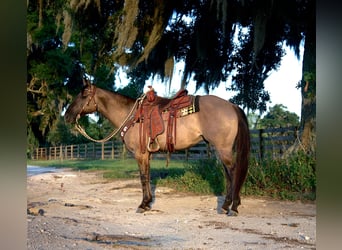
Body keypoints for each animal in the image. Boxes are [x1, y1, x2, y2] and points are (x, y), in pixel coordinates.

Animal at [65, 81, 251, 216]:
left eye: (83, 95)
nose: (67, 116)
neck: (131, 116)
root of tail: (231, 106)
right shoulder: (147, 154)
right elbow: (147, 176)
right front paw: (147, 203)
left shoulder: (140, 154)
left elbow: (143, 178)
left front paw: (142, 205)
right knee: (228, 174)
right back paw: (226, 206)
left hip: (223, 149)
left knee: (233, 172)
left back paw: (233, 207)